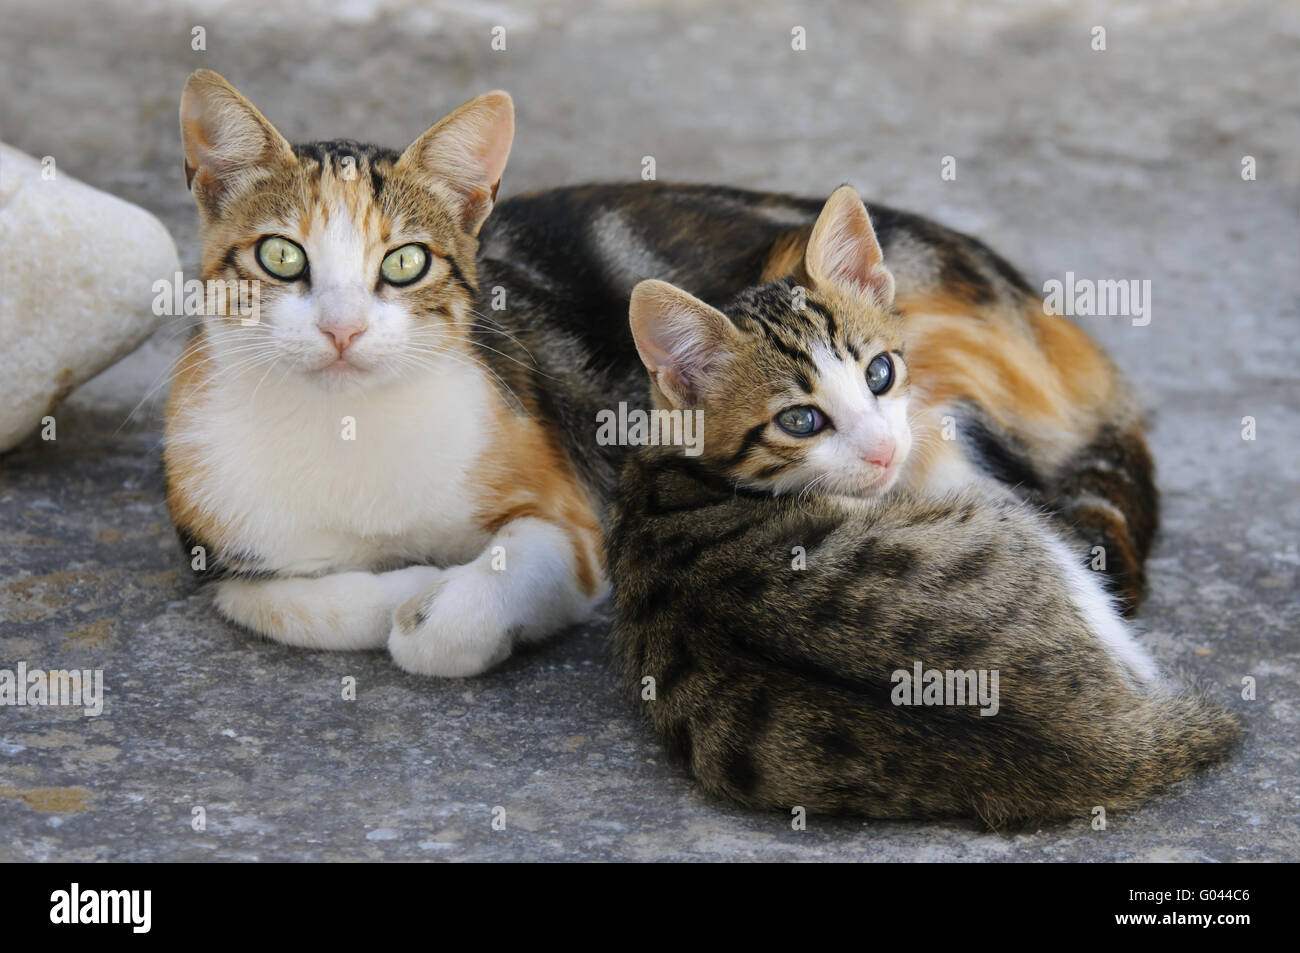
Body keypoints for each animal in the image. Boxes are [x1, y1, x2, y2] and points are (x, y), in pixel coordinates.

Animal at [165, 68, 605, 676]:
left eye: (405, 262)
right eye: (281, 255)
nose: (342, 328)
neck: (344, 424)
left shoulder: (576, 520)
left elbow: (472, 605)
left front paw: (438, 606)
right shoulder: (213, 536)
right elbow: (258, 601)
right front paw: (409, 582)